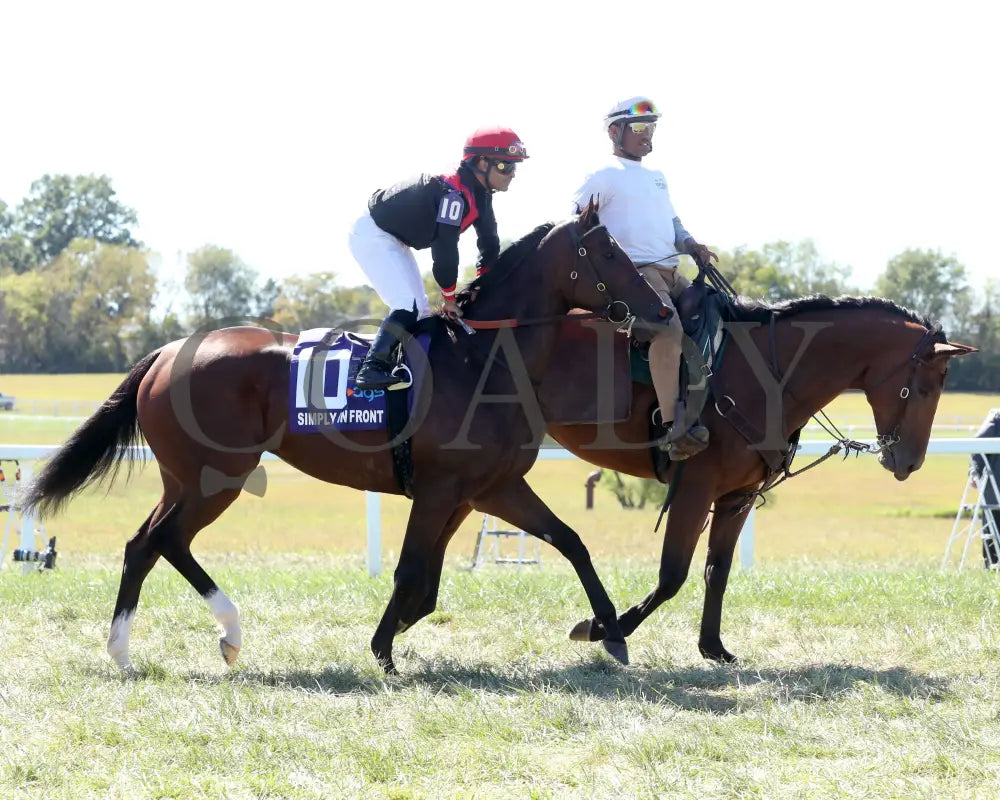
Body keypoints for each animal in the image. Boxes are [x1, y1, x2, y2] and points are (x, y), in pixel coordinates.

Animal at [23, 202, 668, 676]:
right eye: (608, 251)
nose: (660, 309)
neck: (485, 359)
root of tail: (165, 352)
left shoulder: (491, 488)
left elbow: (569, 542)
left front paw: (611, 632)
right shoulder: (441, 489)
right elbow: (410, 574)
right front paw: (383, 652)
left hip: (185, 477)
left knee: (148, 543)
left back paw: (137, 649)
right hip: (217, 476)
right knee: (163, 541)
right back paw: (211, 634)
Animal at [548, 296, 976, 660]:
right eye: (926, 387)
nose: (911, 462)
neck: (763, 377)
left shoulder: (738, 496)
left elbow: (717, 570)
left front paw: (712, 647)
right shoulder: (694, 490)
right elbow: (672, 574)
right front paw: (603, 628)